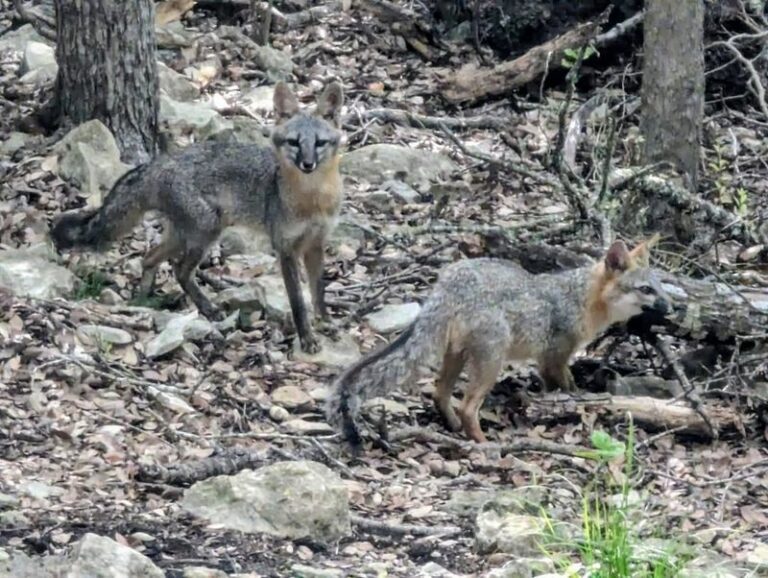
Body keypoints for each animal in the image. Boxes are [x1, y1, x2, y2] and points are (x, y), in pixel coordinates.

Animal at [50, 81, 344, 353]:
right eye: (294, 142)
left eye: (319, 143)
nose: (308, 164)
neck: (312, 200)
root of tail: (159, 163)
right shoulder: (285, 249)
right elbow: (297, 302)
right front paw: (307, 337)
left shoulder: (317, 244)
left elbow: (318, 290)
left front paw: (325, 322)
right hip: (206, 232)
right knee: (180, 270)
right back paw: (206, 307)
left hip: (186, 234)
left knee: (150, 258)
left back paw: (143, 301)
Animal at [325, 236, 671, 447]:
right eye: (646, 290)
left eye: (660, 288)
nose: (671, 307)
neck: (581, 298)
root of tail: (449, 283)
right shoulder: (554, 357)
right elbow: (566, 387)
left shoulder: (549, 359)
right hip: (492, 360)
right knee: (467, 406)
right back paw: (482, 443)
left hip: (458, 355)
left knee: (440, 393)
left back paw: (453, 427)